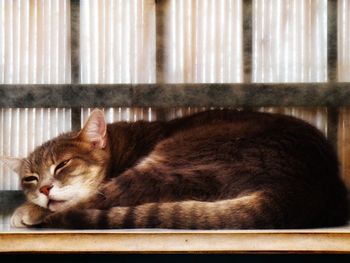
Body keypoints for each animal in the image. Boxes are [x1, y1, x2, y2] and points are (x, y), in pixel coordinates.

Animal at [1, 109, 348, 229]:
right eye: (30, 178)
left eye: (63, 164)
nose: (43, 189)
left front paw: (30, 208)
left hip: (169, 160)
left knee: (95, 201)